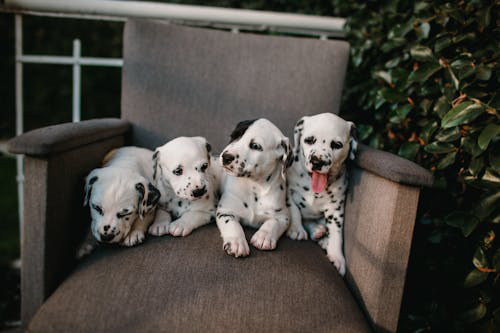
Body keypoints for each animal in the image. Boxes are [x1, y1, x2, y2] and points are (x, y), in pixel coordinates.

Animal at [216, 119, 292, 256]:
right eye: (233, 136)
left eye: (255, 146)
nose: (226, 157)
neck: (254, 187)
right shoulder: (225, 211)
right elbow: (232, 224)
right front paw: (236, 242)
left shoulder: (284, 216)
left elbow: (273, 222)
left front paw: (264, 236)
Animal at [286, 112, 356, 274]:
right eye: (309, 140)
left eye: (337, 145)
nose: (317, 162)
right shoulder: (289, 191)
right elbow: (294, 211)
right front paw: (296, 229)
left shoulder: (335, 210)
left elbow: (336, 234)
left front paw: (337, 257)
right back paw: (317, 230)